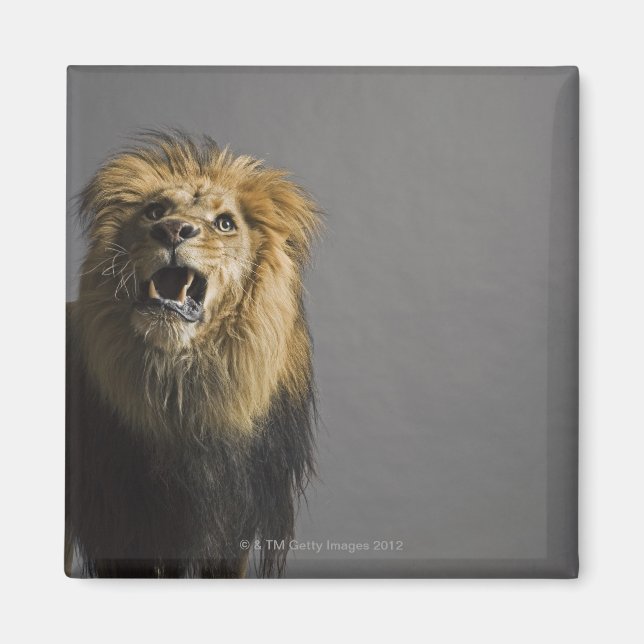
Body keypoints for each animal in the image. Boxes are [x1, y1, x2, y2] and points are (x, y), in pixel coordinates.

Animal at [65, 130, 321, 578]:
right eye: (155, 212)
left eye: (225, 223)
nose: (172, 230)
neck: (182, 386)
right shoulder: (125, 528)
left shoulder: (230, 529)